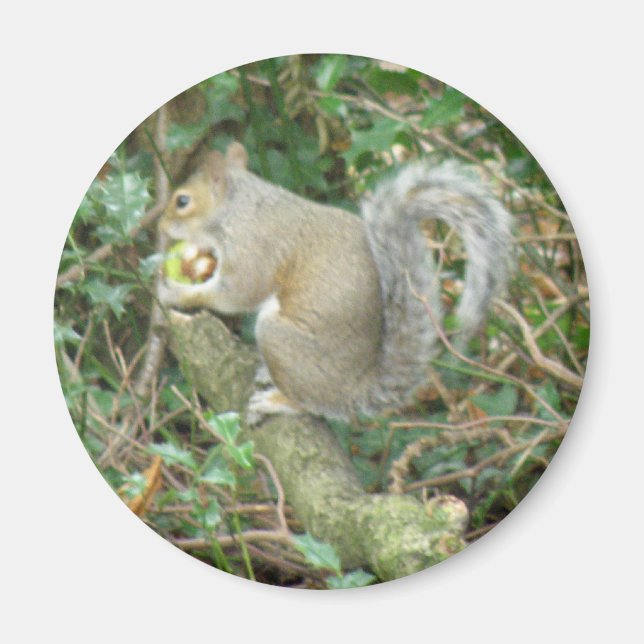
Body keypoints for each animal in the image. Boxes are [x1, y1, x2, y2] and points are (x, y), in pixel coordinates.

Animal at [157, 142, 512, 422]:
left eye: (182, 201)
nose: (160, 226)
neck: (238, 208)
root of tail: (351, 391)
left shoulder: (253, 249)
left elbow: (236, 293)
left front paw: (177, 293)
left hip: (278, 339)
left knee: (311, 404)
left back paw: (278, 401)